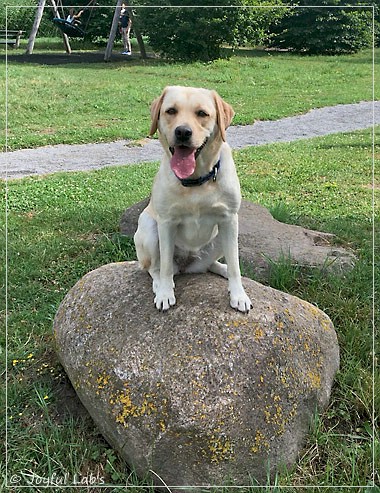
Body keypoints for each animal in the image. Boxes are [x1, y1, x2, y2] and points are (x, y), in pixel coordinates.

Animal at [134, 85, 252, 312]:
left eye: (202, 113)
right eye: (171, 111)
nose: (182, 132)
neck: (196, 181)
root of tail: (186, 265)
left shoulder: (229, 219)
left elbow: (235, 265)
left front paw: (239, 295)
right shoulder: (166, 223)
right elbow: (164, 266)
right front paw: (165, 292)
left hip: (223, 237)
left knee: (211, 264)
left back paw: (222, 268)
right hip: (149, 228)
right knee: (155, 267)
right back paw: (160, 283)